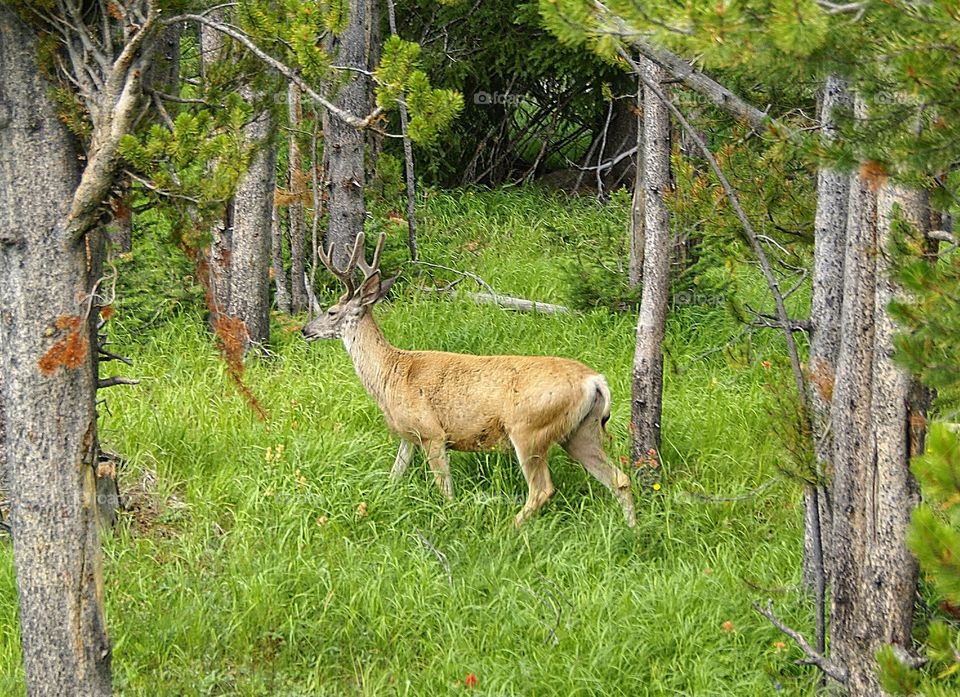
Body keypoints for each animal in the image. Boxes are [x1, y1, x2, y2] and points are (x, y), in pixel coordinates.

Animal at [302, 232, 636, 527]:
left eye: (332, 311)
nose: (306, 330)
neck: (390, 374)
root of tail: (595, 380)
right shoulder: (408, 435)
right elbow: (394, 476)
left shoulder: (432, 433)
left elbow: (445, 489)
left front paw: (450, 518)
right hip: (580, 430)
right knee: (618, 478)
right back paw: (632, 530)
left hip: (529, 428)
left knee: (542, 489)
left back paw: (509, 530)